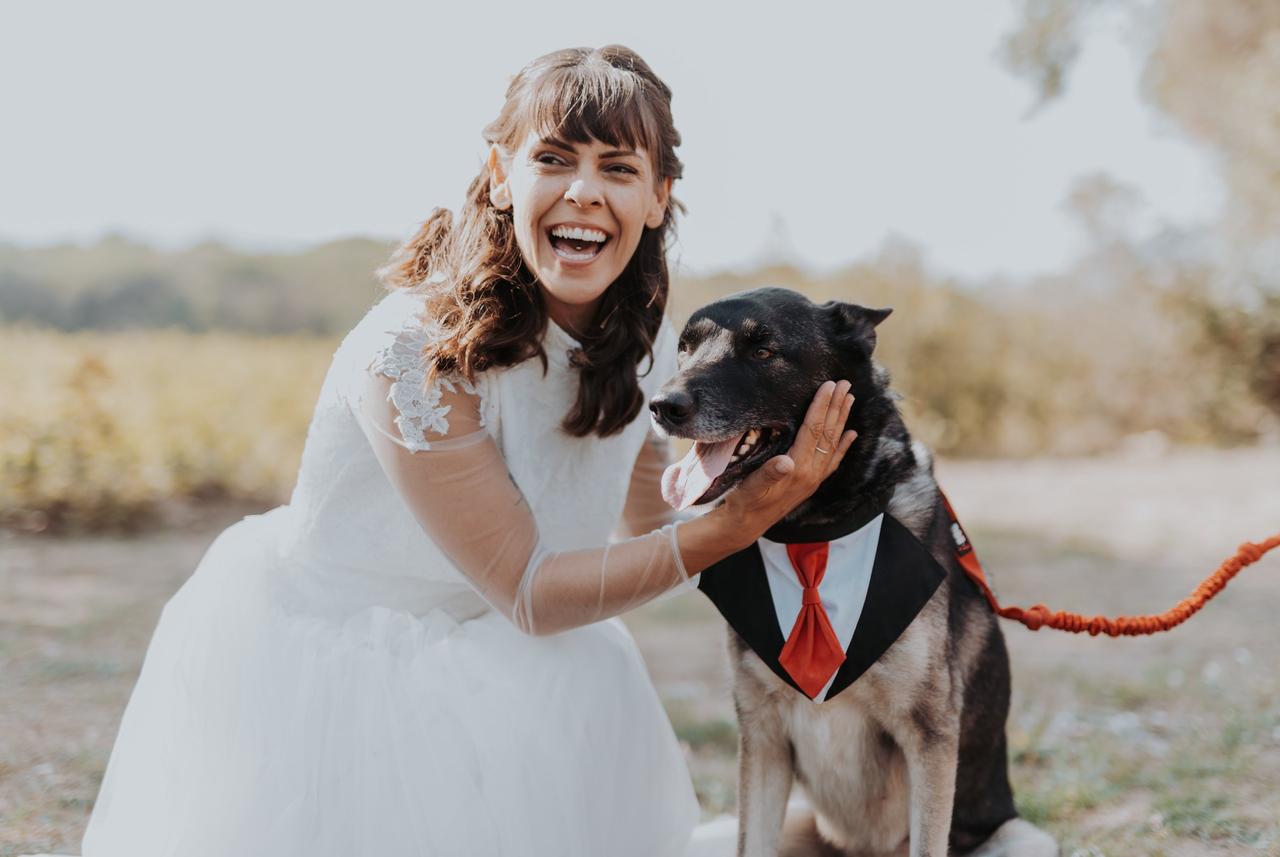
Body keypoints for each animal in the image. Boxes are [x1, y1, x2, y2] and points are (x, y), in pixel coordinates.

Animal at [650, 290, 1059, 857]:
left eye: (763, 351)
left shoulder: (929, 736)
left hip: (1021, 838)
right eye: (684, 348)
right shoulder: (763, 737)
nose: (662, 406)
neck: (814, 534)